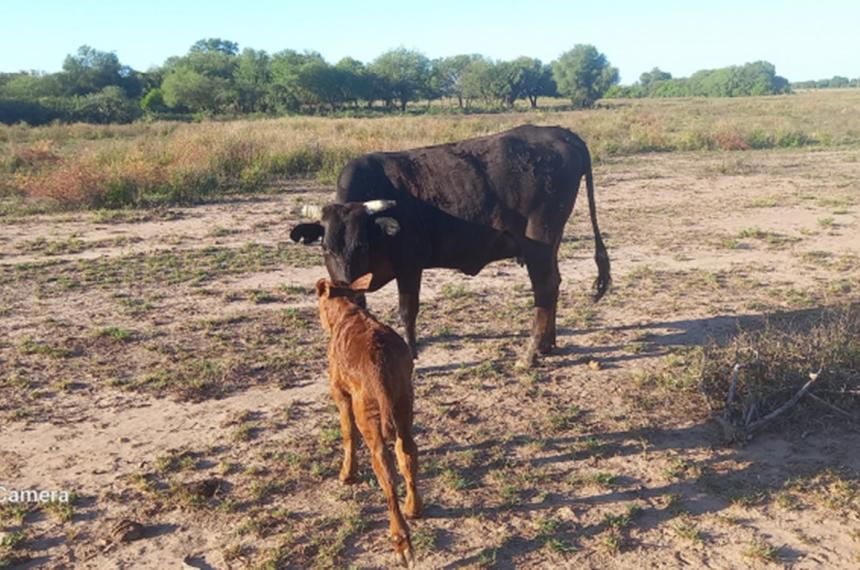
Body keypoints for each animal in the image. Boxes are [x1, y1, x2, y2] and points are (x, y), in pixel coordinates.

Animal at [292, 123, 608, 364]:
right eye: (326, 248)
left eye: (361, 245)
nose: (345, 286)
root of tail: (561, 133)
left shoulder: (410, 266)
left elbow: (407, 311)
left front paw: (412, 354)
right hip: (550, 242)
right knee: (554, 284)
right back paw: (547, 344)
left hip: (538, 241)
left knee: (544, 289)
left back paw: (530, 354)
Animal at [316, 274, 424, 564]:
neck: (347, 312)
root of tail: (380, 362)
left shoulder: (340, 392)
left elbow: (347, 432)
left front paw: (347, 473)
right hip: (404, 402)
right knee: (407, 452)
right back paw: (413, 507)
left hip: (369, 415)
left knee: (385, 469)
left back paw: (400, 540)